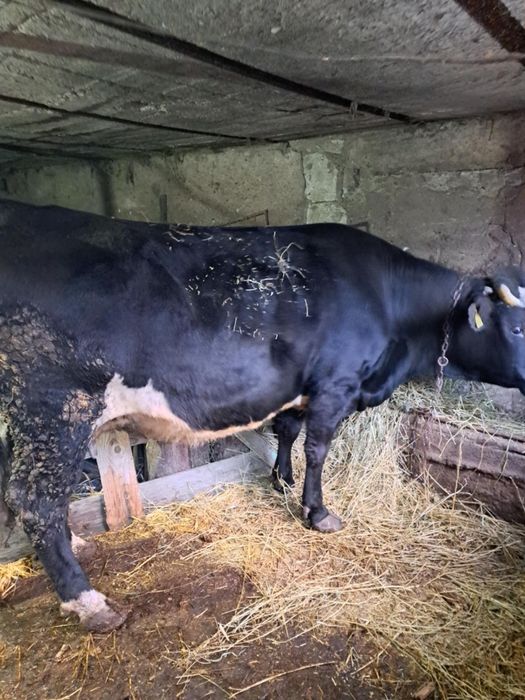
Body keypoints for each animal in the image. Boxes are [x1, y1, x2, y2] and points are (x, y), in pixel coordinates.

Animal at [1, 198, 525, 632]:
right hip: (53, 405)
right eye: (517, 327)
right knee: (35, 498)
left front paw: (281, 480)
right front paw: (318, 512)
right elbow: (318, 449)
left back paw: (73, 543)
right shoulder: (335, 385)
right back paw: (89, 602)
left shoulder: (298, 390)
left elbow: (287, 431)